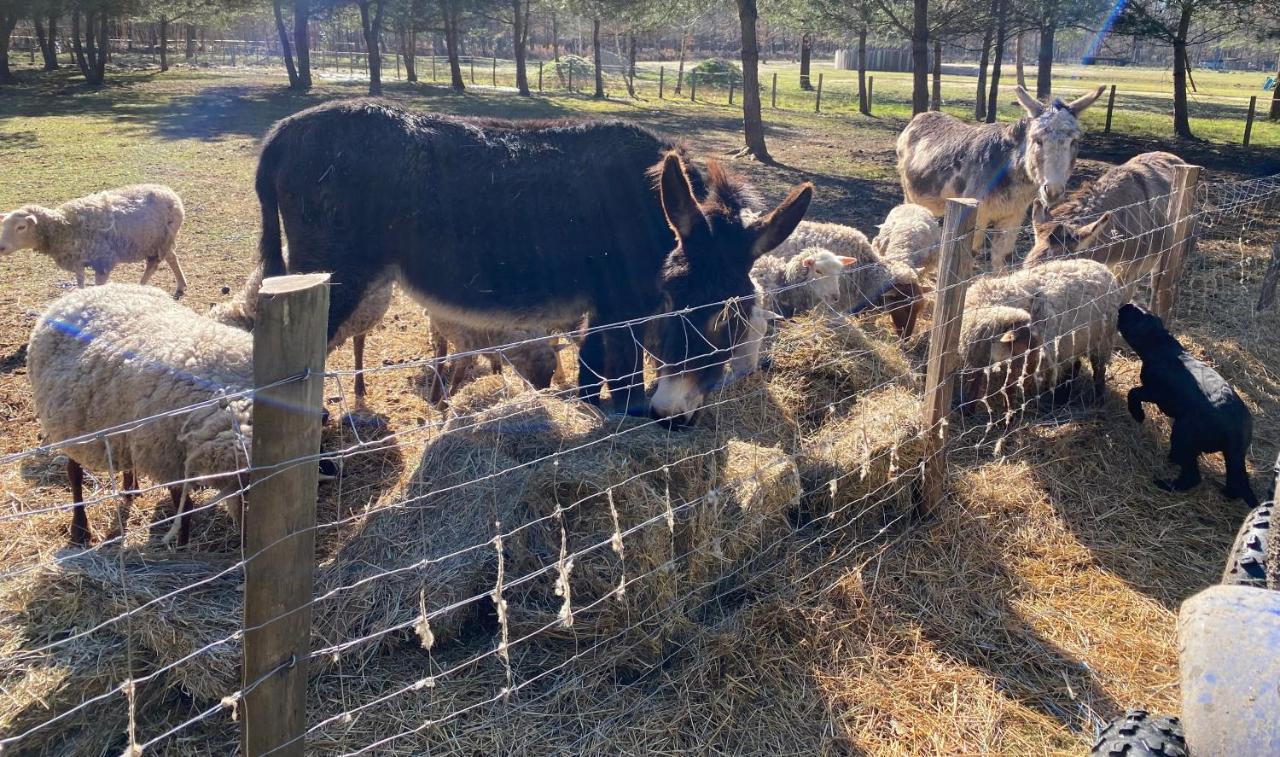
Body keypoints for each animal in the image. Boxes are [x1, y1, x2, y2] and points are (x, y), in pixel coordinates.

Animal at [0, 185, 188, 297]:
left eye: (21, 227)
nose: (1, 247)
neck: (64, 226)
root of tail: (169, 191)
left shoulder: (103, 261)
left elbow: (98, 285)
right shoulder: (77, 259)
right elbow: (80, 281)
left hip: (160, 240)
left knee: (153, 265)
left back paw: (141, 286)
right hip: (159, 240)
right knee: (172, 257)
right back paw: (180, 285)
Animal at [27, 284, 253, 545]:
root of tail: (82, 293)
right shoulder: (168, 455)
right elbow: (184, 509)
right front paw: (182, 544)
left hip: (121, 421)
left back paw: (131, 486)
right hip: (70, 424)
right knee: (74, 473)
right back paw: (80, 529)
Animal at [957, 258, 1126, 409]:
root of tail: (1104, 269)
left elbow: (1008, 389)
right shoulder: (979, 359)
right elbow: (975, 385)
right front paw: (968, 409)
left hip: (1102, 340)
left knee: (1098, 370)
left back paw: (1096, 400)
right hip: (1073, 342)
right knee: (1073, 366)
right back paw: (1061, 398)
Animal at [1121, 303, 1259, 509]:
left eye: (1135, 314)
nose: (1124, 306)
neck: (1163, 347)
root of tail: (1235, 432)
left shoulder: (1155, 393)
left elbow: (1133, 393)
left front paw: (1138, 415)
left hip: (1183, 435)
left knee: (1192, 476)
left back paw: (1166, 483)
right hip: (1233, 455)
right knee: (1236, 480)